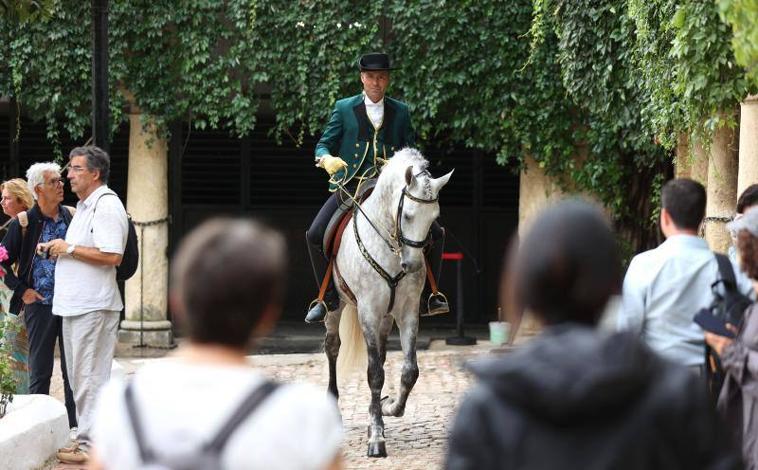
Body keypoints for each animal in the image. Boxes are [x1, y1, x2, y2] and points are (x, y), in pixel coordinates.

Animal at [326, 149, 454, 458]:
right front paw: (376, 439)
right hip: (336, 308)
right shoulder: (368, 312)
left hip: (386, 318)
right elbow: (374, 374)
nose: (412, 265)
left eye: (434, 217)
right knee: (333, 347)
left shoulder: (407, 312)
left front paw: (388, 408)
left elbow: (409, 372)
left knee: (382, 357)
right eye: (407, 215)